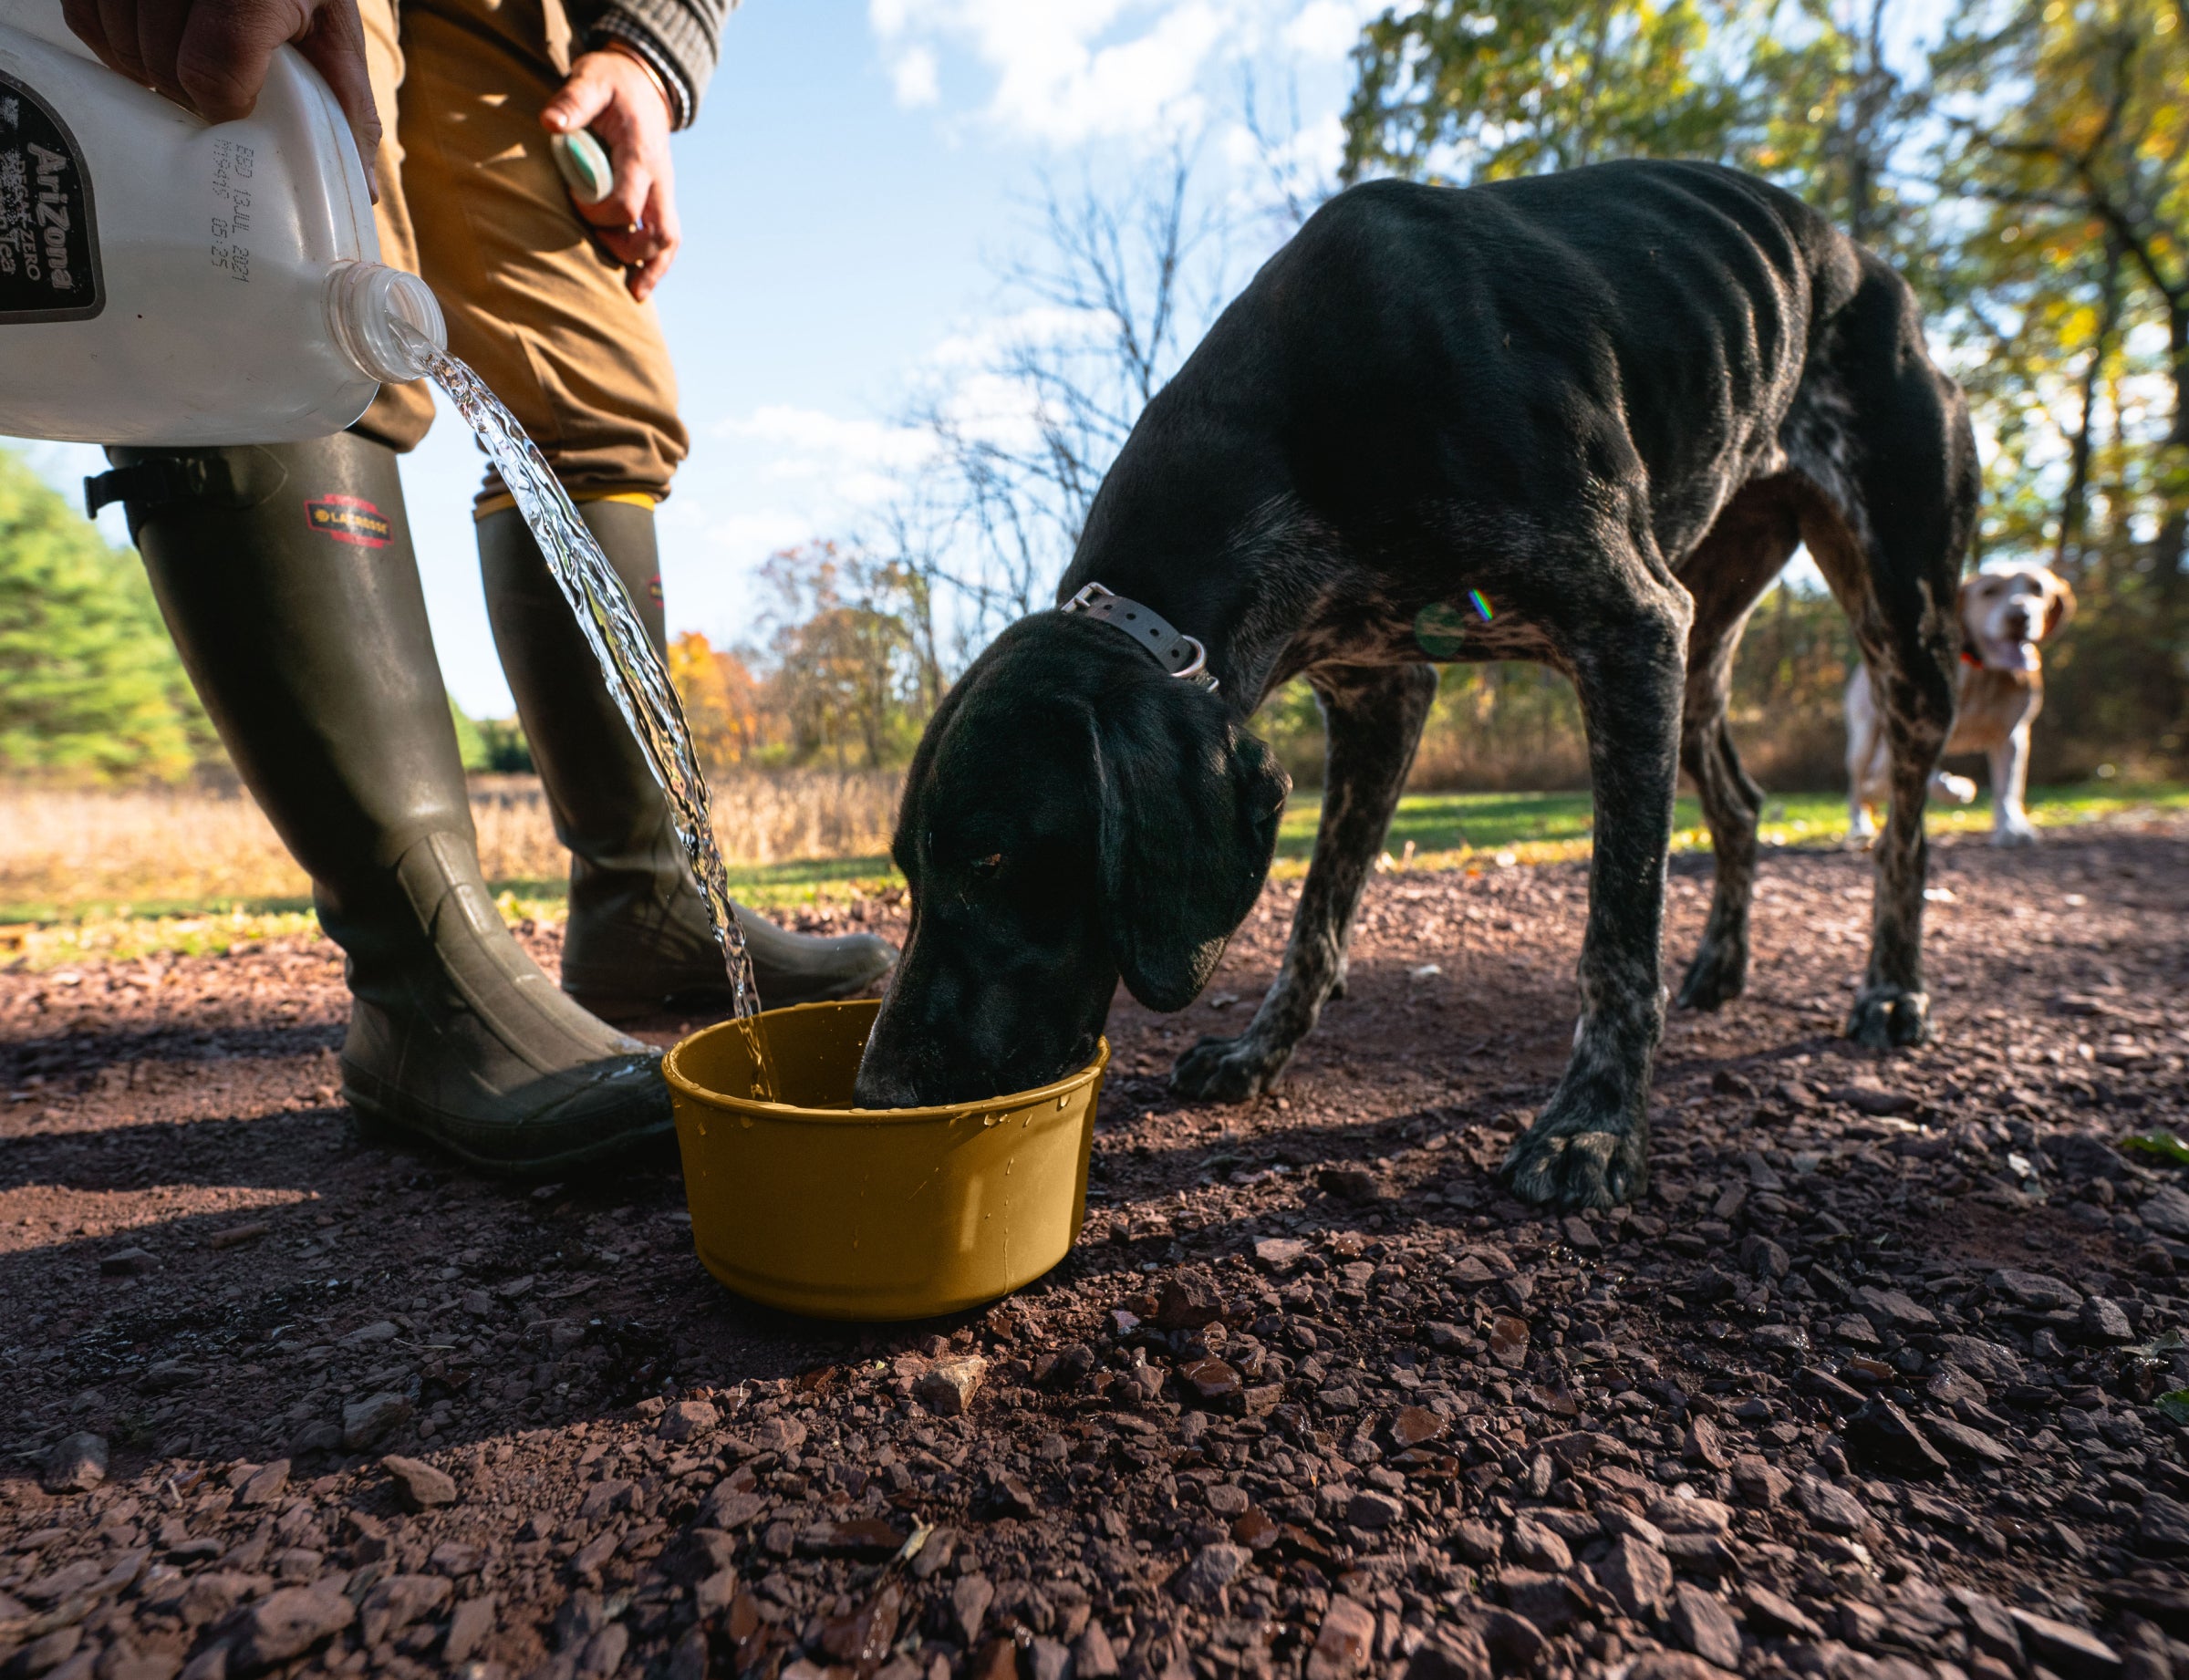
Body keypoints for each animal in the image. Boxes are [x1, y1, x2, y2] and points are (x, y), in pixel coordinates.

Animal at [857, 161, 1987, 1207]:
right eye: (910, 871)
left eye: (996, 860)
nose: (879, 1094)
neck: (1306, 423)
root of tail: (1869, 263)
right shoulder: (1381, 696)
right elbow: (1319, 917)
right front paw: (1259, 1055)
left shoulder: (1626, 626)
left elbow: (1618, 935)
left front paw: (1594, 1122)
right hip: (1701, 646)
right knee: (1744, 800)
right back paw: (1723, 962)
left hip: (1897, 625)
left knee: (1904, 828)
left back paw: (1892, 991)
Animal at [1856, 564, 2075, 848]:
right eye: (1989, 591)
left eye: (2037, 588)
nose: (2019, 616)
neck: (1983, 673)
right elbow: (1896, 777)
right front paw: (1953, 787)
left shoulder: (2011, 735)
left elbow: (2008, 787)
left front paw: (2012, 828)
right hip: (1863, 737)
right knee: (1856, 784)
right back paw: (1860, 824)